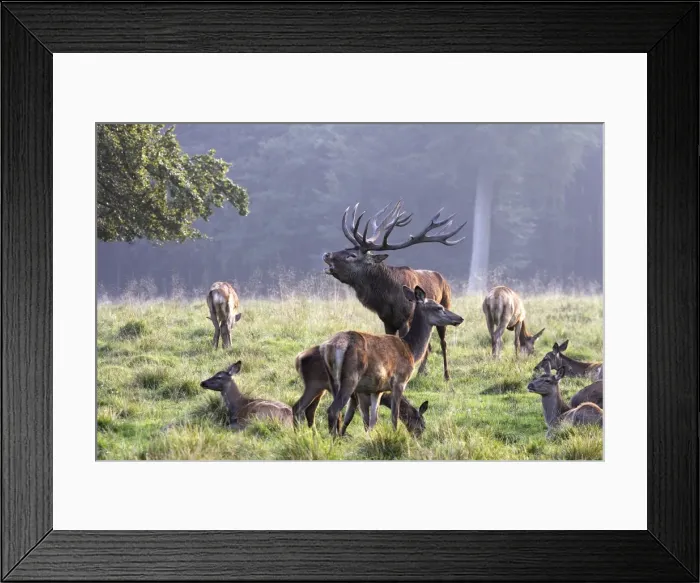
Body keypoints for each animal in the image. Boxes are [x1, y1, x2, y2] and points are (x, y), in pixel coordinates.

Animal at [292, 345, 430, 437]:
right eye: (422, 424)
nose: (418, 438)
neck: (385, 396)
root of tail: (298, 358)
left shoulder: (354, 397)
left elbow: (348, 417)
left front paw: (341, 435)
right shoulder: (359, 395)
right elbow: (359, 419)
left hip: (321, 389)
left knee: (310, 410)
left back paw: (314, 435)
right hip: (314, 384)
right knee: (299, 407)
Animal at [316, 285, 463, 436]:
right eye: (439, 307)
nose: (460, 318)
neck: (410, 350)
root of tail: (329, 347)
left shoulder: (377, 389)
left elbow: (372, 420)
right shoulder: (399, 381)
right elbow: (394, 415)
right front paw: (394, 435)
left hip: (333, 381)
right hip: (350, 378)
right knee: (333, 410)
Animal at [322, 200, 467, 380]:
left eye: (352, 255)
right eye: (346, 248)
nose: (327, 255)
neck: (387, 298)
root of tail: (442, 277)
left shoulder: (405, 319)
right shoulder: (387, 320)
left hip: (446, 305)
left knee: (443, 343)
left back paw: (446, 376)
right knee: (429, 346)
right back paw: (421, 372)